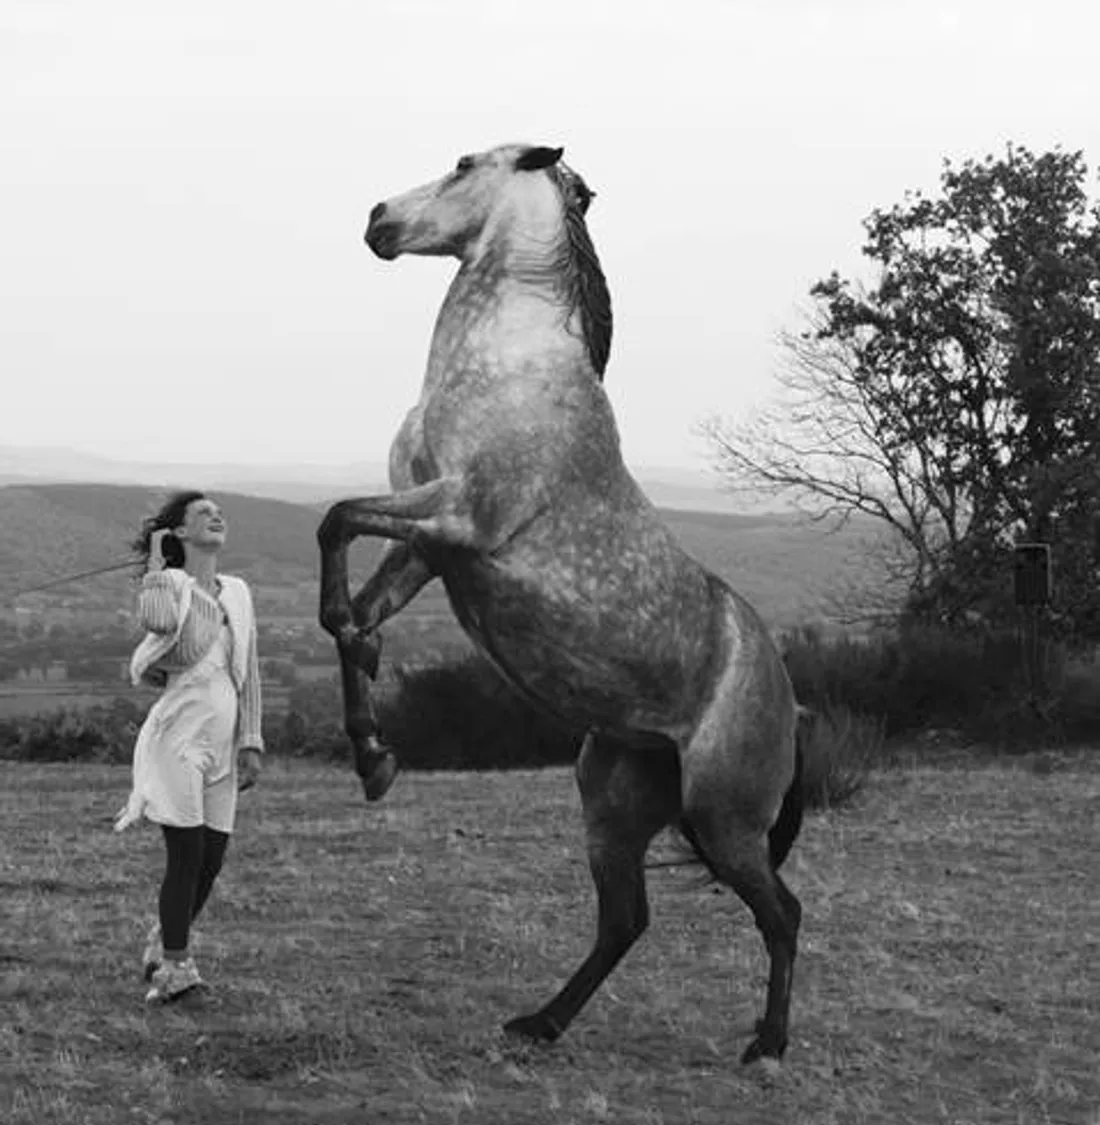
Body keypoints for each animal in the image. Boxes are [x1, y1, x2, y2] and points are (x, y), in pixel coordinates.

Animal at [316, 142, 806, 1064]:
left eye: (465, 161)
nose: (376, 219)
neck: (512, 367)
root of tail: (791, 701)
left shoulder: (456, 515)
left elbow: (333, 524)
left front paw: (374, 750)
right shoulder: (431, 547)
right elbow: (352, 615)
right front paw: (373, 756)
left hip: (724, 819)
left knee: (783, 912)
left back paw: (767, 1045)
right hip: (613, 800)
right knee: (626, 919)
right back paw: (540, 1022)